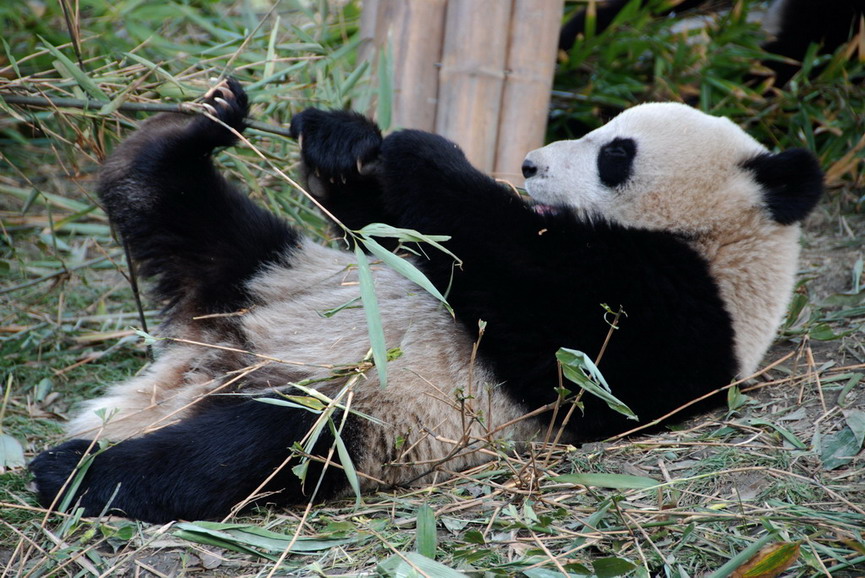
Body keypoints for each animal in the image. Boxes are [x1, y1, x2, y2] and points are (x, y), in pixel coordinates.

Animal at [28, 77, 824, 520]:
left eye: (614, 154)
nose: (528, 164)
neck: (724, 246)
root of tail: (202, 367)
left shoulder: (685, 328)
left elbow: (563, 334)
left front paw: (421, 150)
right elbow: (399, 240)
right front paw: (346, 143)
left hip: (363, 415)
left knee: (250, 449)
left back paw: (74, 471)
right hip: (271, 272)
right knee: (191, 213)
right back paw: (184, 133)